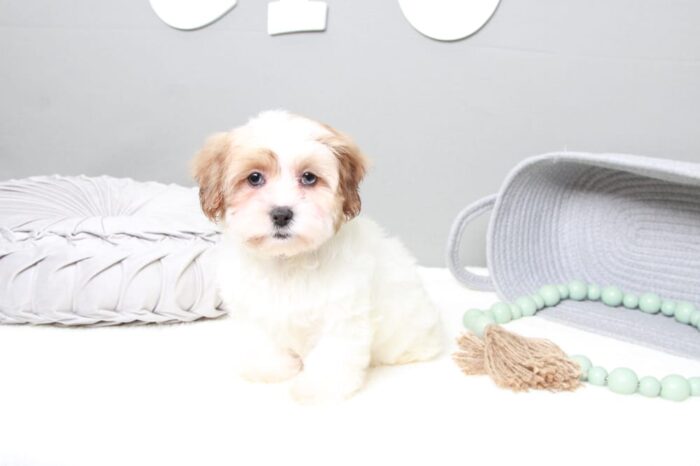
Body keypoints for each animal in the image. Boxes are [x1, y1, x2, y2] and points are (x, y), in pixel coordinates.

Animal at [191, 111, 442, 402]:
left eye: (309, 178)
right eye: (254, 178)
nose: (281, 214)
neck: (286, 261)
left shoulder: (341, 316)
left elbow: (332, 354)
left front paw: (320, 388)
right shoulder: (254, 308)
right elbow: (265, 340)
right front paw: (270, 369)